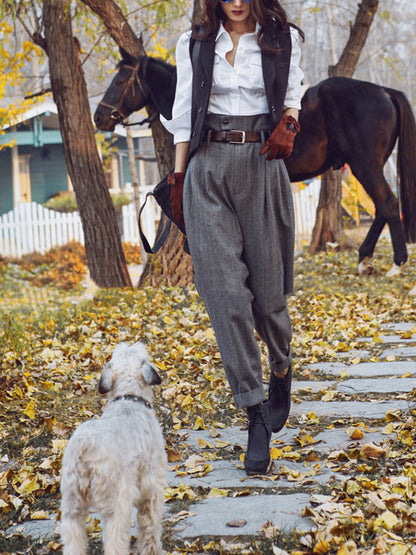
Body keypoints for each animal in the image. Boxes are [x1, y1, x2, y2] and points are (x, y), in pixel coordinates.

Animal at [59, 344, 166, 555]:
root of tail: (84, 444)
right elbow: (150, 524)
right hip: (117, 504)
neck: (129, 399)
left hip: (71, 506)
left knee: (73, 541)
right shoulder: (152, 486)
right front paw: (151, 549)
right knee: (114, 542)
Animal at [94, 50, 416, 274]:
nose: (99, 116)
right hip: (369, 167)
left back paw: (396, 263)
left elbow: (167, 196)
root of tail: (384, 91)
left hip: (365, 166)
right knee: (383, 207)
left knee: (388, 204)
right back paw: (365, 259)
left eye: (120, 80)